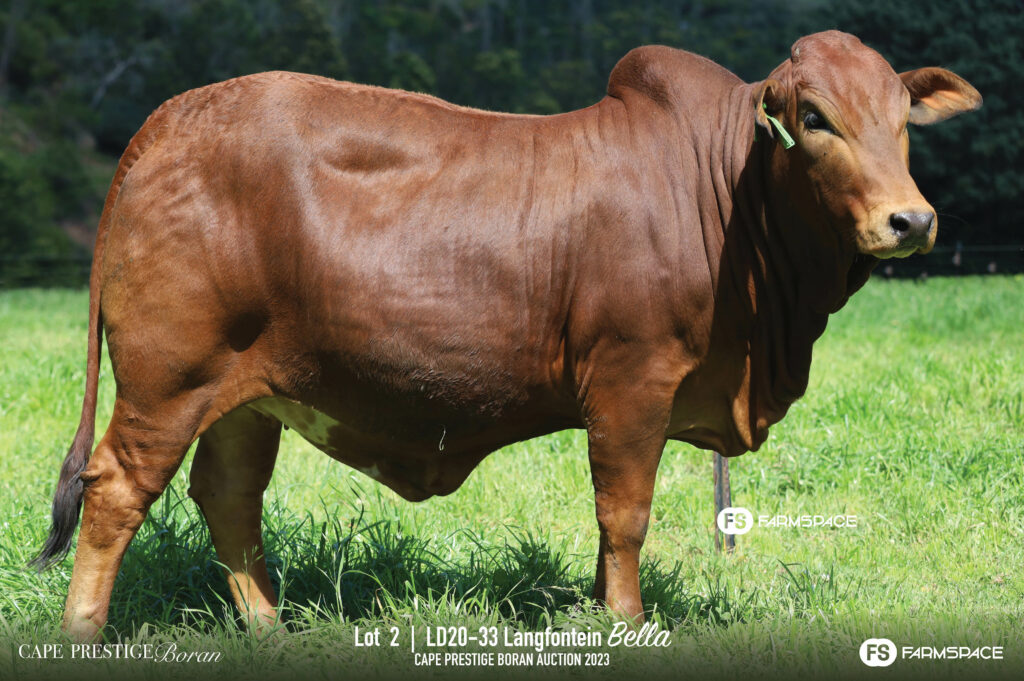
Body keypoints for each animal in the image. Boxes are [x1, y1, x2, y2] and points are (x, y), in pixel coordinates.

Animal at [32, 30, 980, 641]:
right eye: (814, 117)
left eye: (902, 117)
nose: (911, 220)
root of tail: (169, 121)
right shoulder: (632, 380)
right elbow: (625, 512)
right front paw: (628, 622)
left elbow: (609, 525)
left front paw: (602, 607)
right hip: (168, 379)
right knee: (115, 491)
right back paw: (84, 633)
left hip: (243, 396)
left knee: (227, 497)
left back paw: (269, 629)